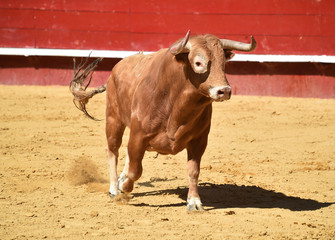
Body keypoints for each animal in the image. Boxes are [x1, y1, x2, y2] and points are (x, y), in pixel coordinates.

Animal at [69, 31, 256, 211]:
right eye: (198, 63)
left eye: (223, 63)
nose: (224, 91)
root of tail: (117, 68)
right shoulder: (138, 136)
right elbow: (136, 170)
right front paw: (124, 186)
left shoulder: (199, 140)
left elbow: (193, 171)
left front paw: (194, 202)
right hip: (114, 119)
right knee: (112, 150)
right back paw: (115, 188)